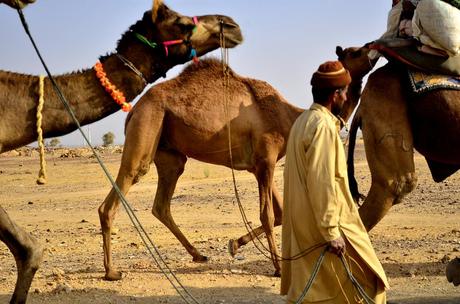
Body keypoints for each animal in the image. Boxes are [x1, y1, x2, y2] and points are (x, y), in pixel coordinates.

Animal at [97, 55, 362, 280]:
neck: (289, 116)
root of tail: (133, 111)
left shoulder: (260, 166)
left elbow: (279, 213)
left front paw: (234, 244)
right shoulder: (266, 158)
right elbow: (268, 215)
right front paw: (277, 268)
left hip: (169, 154)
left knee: (161, 204)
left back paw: (198, 254)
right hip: (147, 126)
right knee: (118, 193)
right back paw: (111, 271)